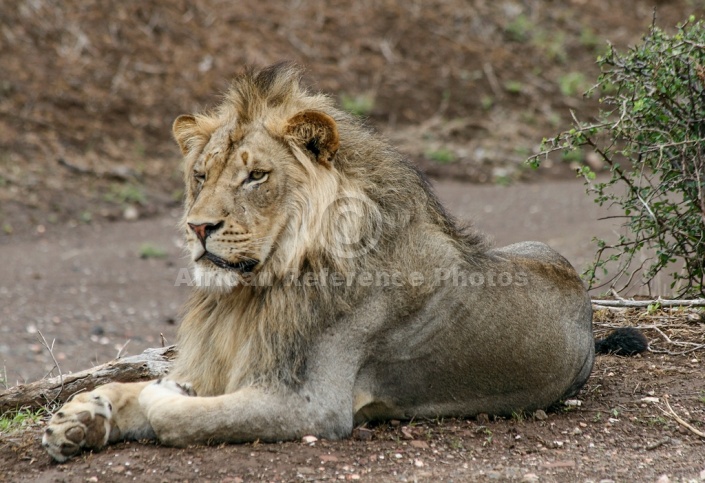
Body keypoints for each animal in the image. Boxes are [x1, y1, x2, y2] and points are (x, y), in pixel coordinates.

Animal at [41, 62, 648, 464]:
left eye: (255, 175)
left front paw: (157, 401)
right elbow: (131, 386)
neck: (252, 293)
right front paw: (80, 418)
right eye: (200, 174)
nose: (197, 227)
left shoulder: (310, 405)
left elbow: (174, 410)